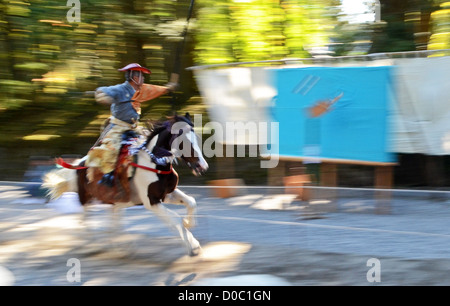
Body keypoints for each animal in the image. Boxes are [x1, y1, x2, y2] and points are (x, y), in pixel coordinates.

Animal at [43, 113, 208, 256]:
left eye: (196, 137)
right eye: (184, 141)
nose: (202, 166)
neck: (155, 164)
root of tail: (80, 164)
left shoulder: (167, 194)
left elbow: (191, 202)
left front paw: (189, 225)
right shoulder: (151, 201)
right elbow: (175, 218)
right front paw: (192, 247)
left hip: (117, 201)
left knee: (114, 221)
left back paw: (121, 247)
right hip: (86, 198)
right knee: (85, 219)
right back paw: (93, 246)